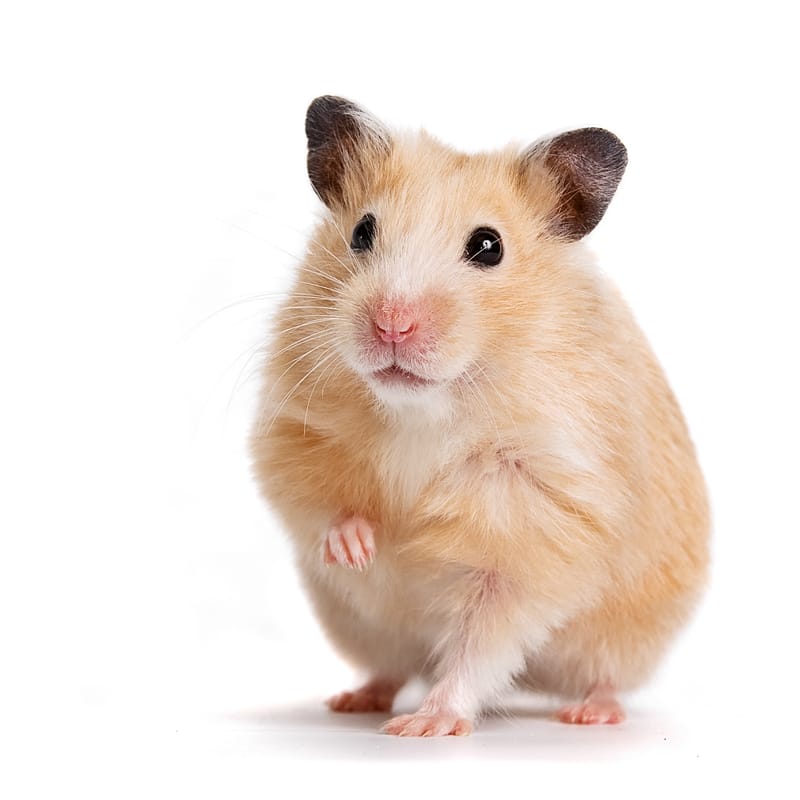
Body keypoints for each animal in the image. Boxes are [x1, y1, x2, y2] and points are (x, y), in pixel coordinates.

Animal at [250, 96, 709, 736]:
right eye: (362, 231)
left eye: (488, 246)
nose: (392, 325)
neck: (424, 408)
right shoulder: (294, 427)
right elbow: (318, 502)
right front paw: (360, 548)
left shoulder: (534, 527)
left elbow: (481, 640)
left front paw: (426, 726)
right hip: (363, 627)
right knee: (391, 667)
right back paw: (353, 700)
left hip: (627, 635)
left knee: (603, 675)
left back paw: (588, 714)